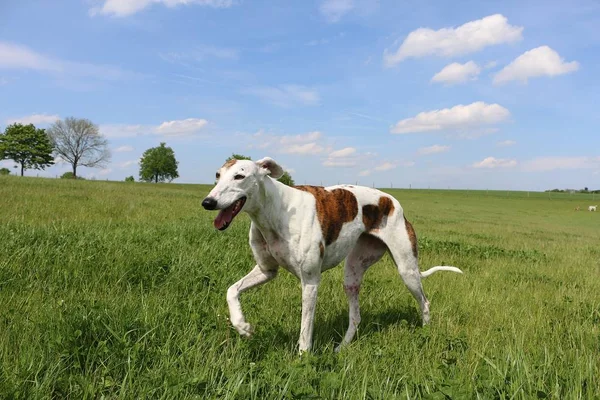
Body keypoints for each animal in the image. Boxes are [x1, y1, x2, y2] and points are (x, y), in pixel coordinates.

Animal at [202, 158, 464, 352]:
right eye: (217, 175)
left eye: (240, 176)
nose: (208, 202)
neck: (275, 210)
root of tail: (391, 201)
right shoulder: (267, 271)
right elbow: (231, 290)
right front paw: (242, 326)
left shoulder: (310, 282)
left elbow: (305, 329)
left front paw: (303, 360)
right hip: (352, 274)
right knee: (355, 317)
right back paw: (342, 348)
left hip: (407, 269)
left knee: (424, 302)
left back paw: (426, 332)